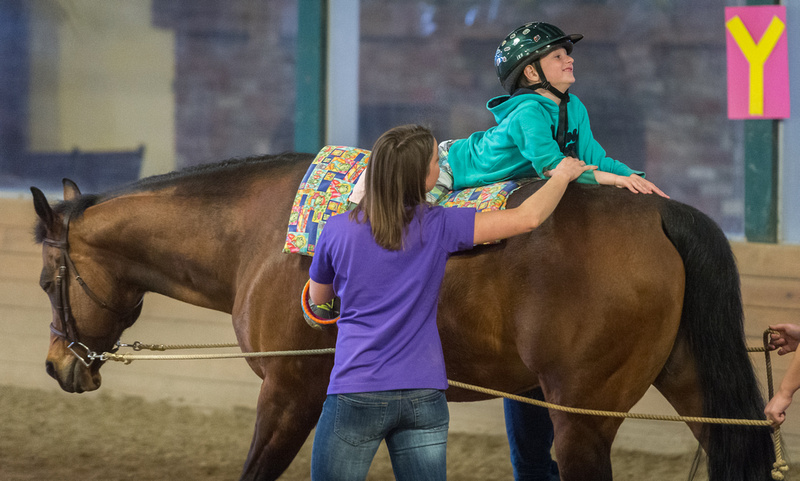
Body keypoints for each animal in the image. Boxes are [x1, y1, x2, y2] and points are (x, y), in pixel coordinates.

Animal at [32, 153, 776, 480]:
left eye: (45, 281)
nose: (56, 363)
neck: (258, 234)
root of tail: (661, 213)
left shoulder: (289, 394)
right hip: (692, 388)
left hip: (582, 421)